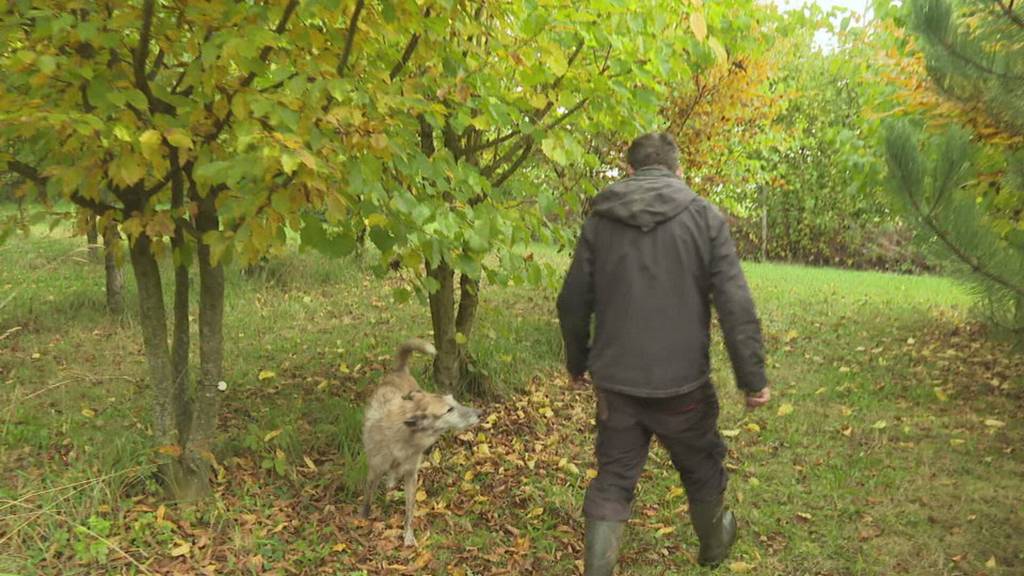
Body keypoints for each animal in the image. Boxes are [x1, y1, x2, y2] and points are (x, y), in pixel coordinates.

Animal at [360, 336, 479, 541]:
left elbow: (410, 509)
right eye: (449, 410)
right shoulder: (374, 471)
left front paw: (408, 535)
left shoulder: (411, 475)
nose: (480, 413)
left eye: (454, 401)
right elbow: (368, 497)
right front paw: (363, 518)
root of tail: (400, 371)